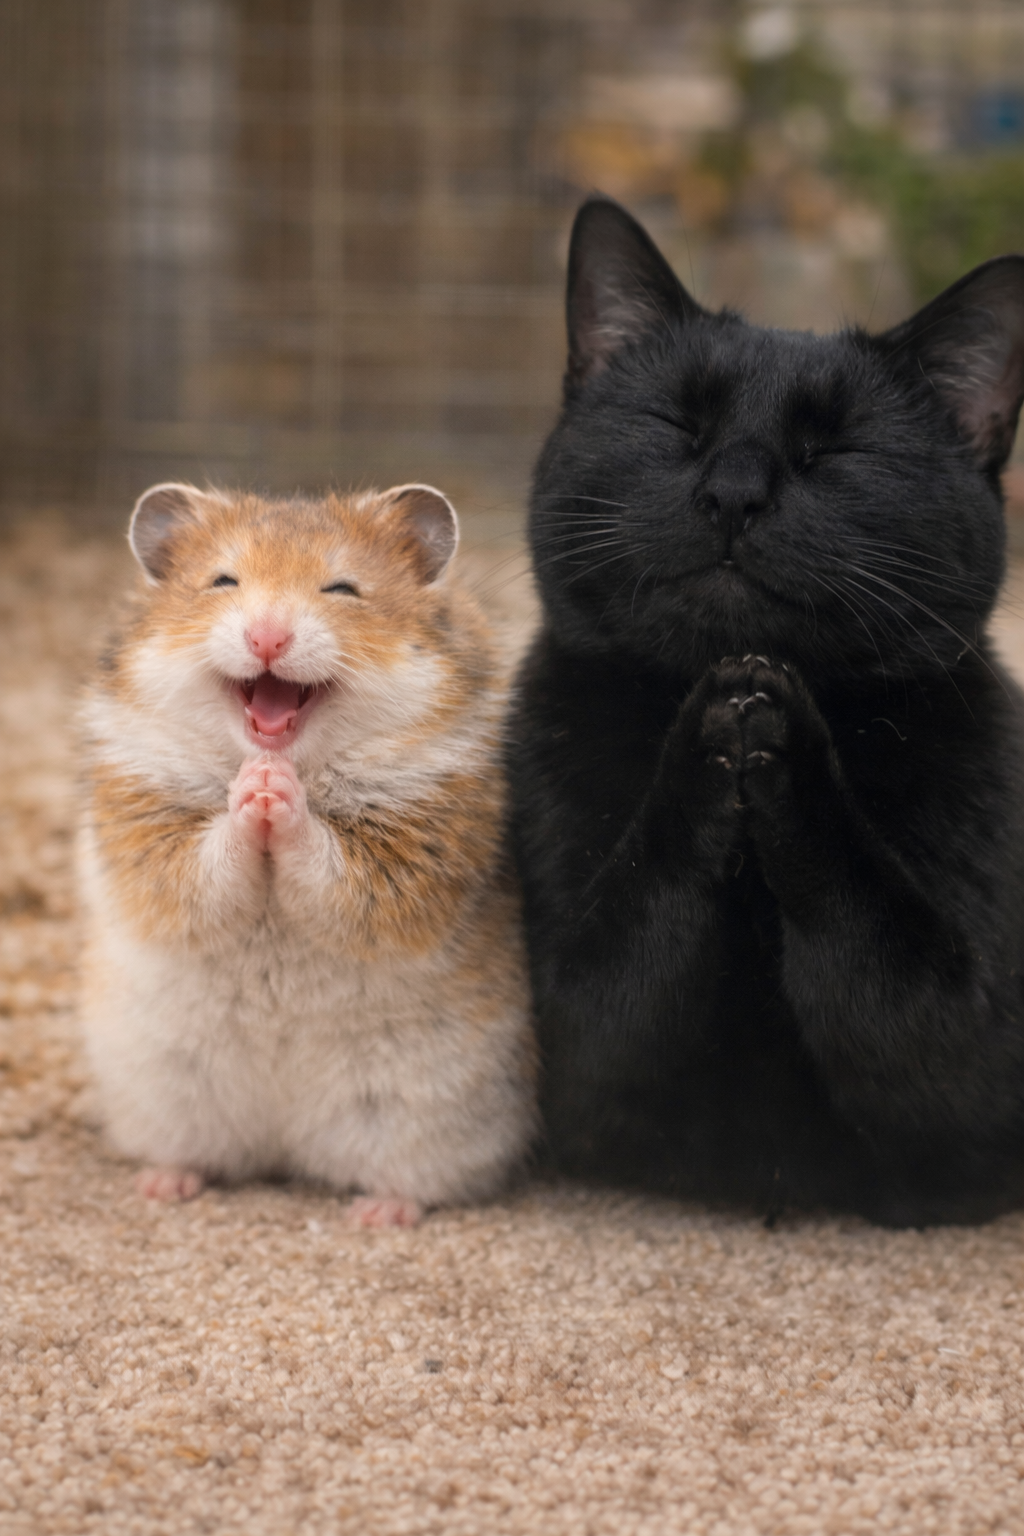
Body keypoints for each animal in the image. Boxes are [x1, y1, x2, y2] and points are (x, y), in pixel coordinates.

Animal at [78, 481, 537, 1226]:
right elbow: (203, 868)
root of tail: (284, 1148)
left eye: (342, 588)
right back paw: (164, 1185)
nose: (268, 636)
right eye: (223, 581)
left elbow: (331, 870)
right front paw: (256, 787)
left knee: (417, 1178)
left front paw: (273, 788)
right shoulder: (145, 828)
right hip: (164, 1090)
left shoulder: (413, 853)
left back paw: (380, 1214)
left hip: (426, 1111)